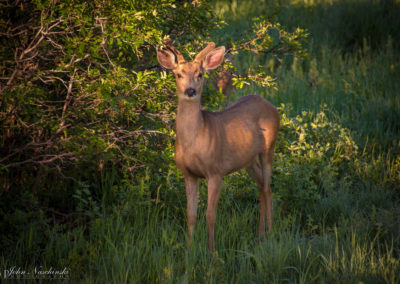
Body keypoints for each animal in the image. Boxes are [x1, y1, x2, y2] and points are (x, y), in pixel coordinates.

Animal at [155, 41, 280, 251]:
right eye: (178, 74)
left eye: (200, 74)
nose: (190, 91)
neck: (194, 141)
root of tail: (269, 103)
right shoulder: (188, 174)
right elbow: (191, 214)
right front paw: (189, 250)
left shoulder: (215, 171)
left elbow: (210, 215)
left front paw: (211, 252)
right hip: (248, 160)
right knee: (261, 188)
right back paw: (260, 234)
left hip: (268, 149)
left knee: (268, 188)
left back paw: (270, 234)